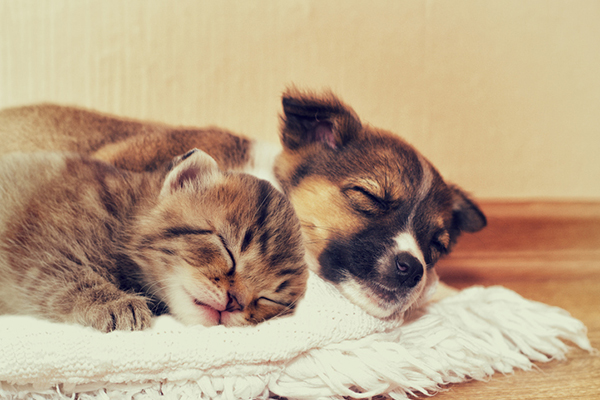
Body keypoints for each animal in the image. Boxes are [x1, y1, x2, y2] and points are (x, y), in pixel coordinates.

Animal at [0, 148, 308, 332]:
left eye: (268, 297)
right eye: (227, 248)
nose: (235, 303)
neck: (124, 210)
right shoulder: (37, 254)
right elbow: (70, 278)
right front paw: (115, 303)